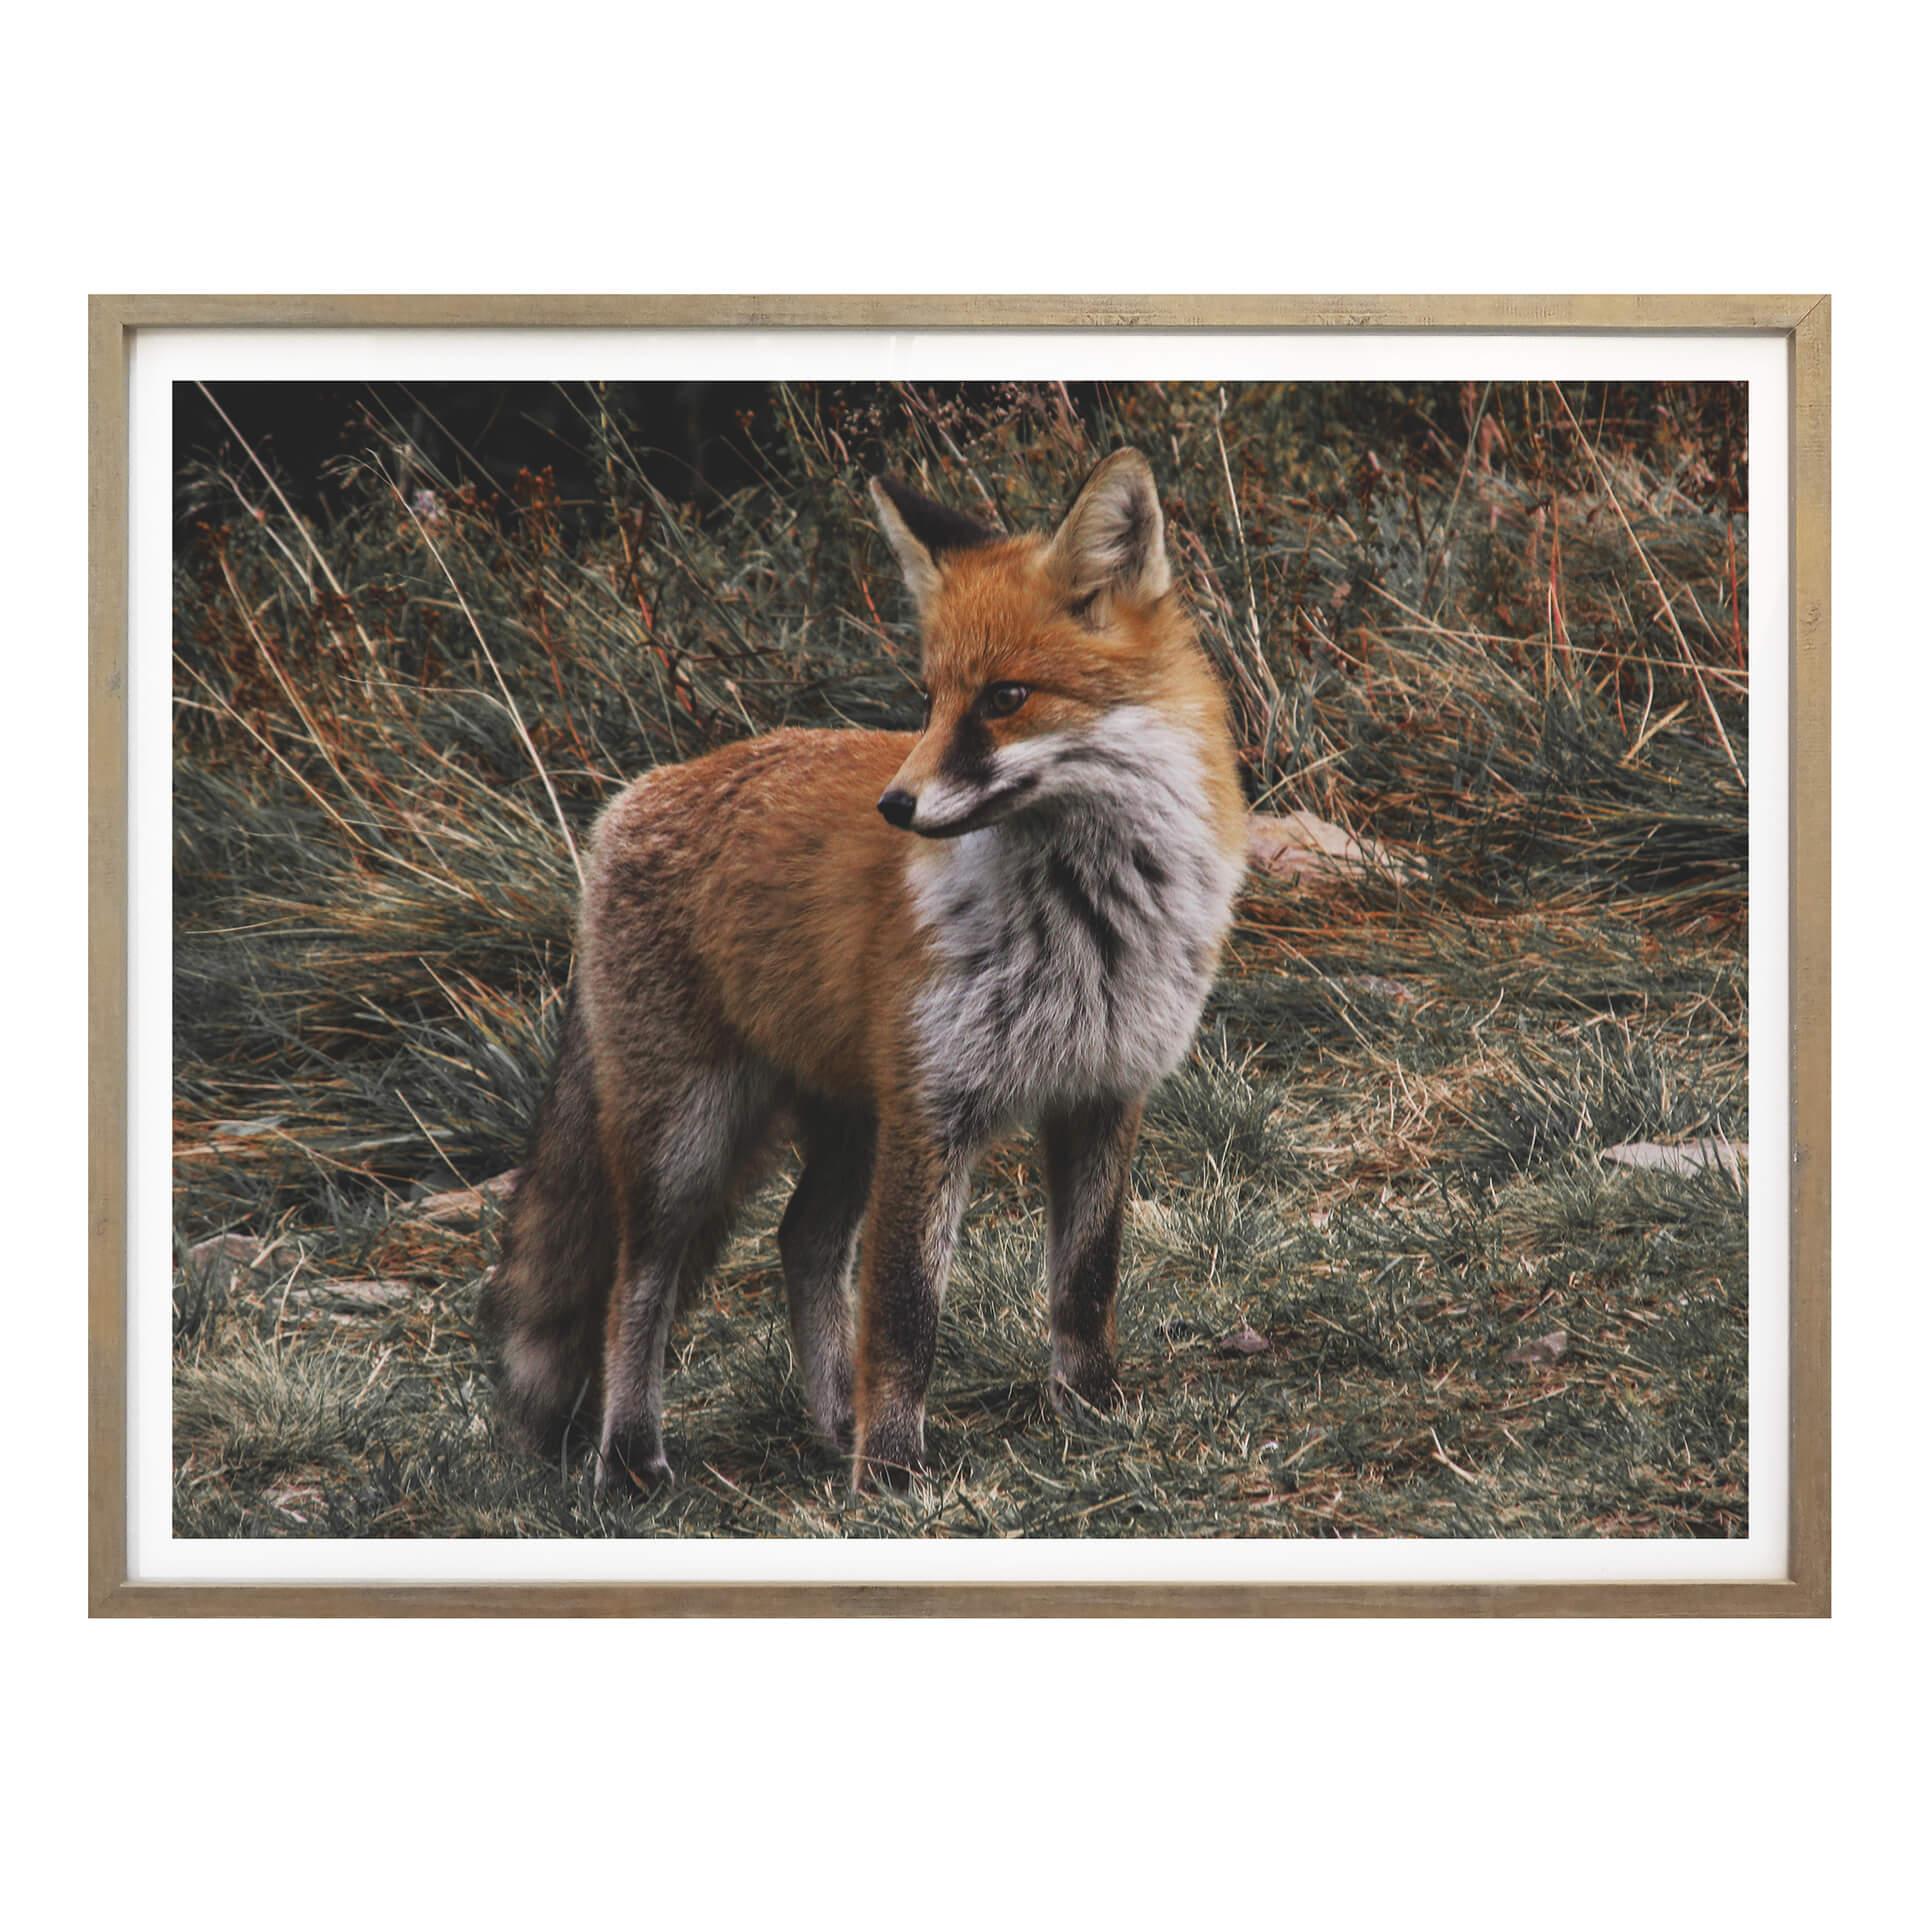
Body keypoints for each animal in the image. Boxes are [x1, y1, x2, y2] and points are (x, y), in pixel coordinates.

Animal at [480, 447, 1248, 1492]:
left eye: (1005, 698)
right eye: (927, 700)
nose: (896, 805)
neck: (1086, 921)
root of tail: (636, 796)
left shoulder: (1103, 1091)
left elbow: (1086, 1281)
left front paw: (1091, 1410)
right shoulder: (933, 1111)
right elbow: (904, 1311)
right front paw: (890, 1474)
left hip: (848, 1123)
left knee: (800, 1240)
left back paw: (830, 1420)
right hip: (688, 1138)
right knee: (635, 1285)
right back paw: (634, 1456)